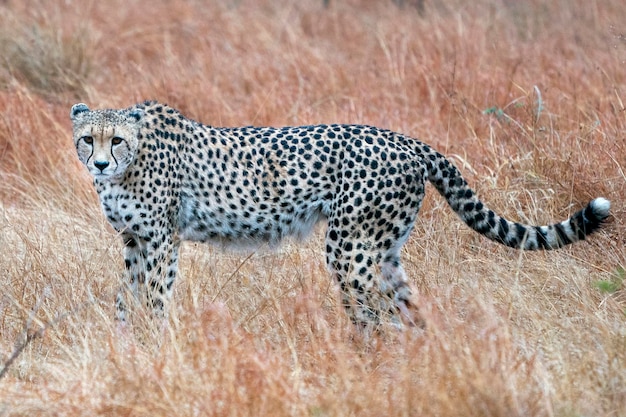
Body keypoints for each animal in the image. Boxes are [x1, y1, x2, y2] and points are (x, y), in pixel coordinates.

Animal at [70, 100, 608, 328]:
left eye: (116, 141)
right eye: (87, 139)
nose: (99, 163)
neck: (127, 166)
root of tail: (407, 140)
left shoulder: (162, 240)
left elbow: (154, 298)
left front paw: (155, 348)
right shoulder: (135, 242)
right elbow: (125, 297)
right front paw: (124, 345)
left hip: (350, 249)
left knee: (375, 316)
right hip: (382, 250)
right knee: (408, 312)